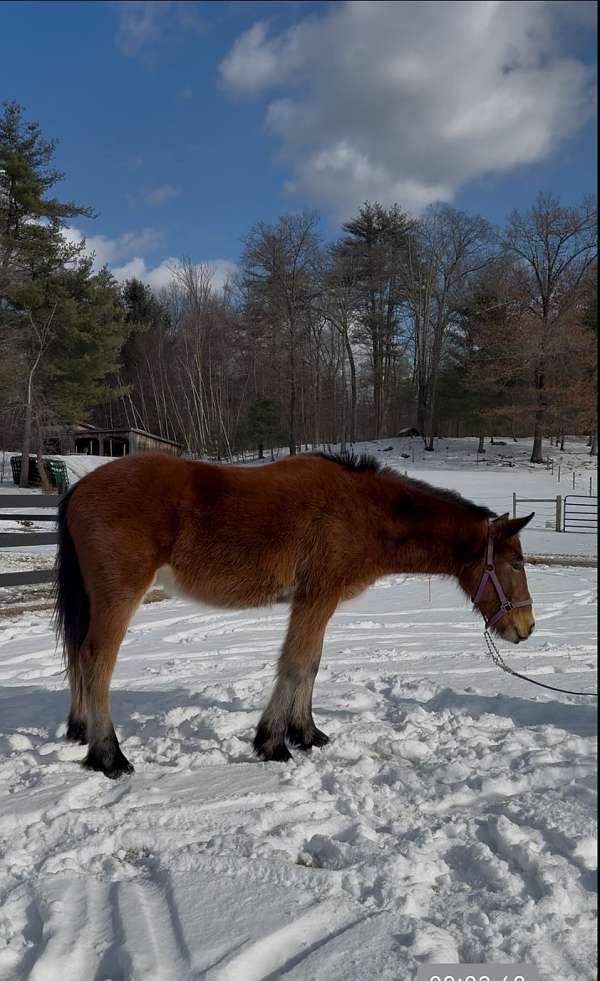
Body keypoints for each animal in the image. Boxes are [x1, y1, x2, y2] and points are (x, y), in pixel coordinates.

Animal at [52, 452, 536, 780]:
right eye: (515, 564)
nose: (526, 628)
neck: (361, 511)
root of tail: (79, 487)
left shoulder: (317, 602)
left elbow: (311, 665)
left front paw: (305, 733)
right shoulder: (317, 597)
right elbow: (296, 663)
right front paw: (272, 742)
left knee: (79, 658)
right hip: (118, 596)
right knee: (96, 661)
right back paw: (109, 756)